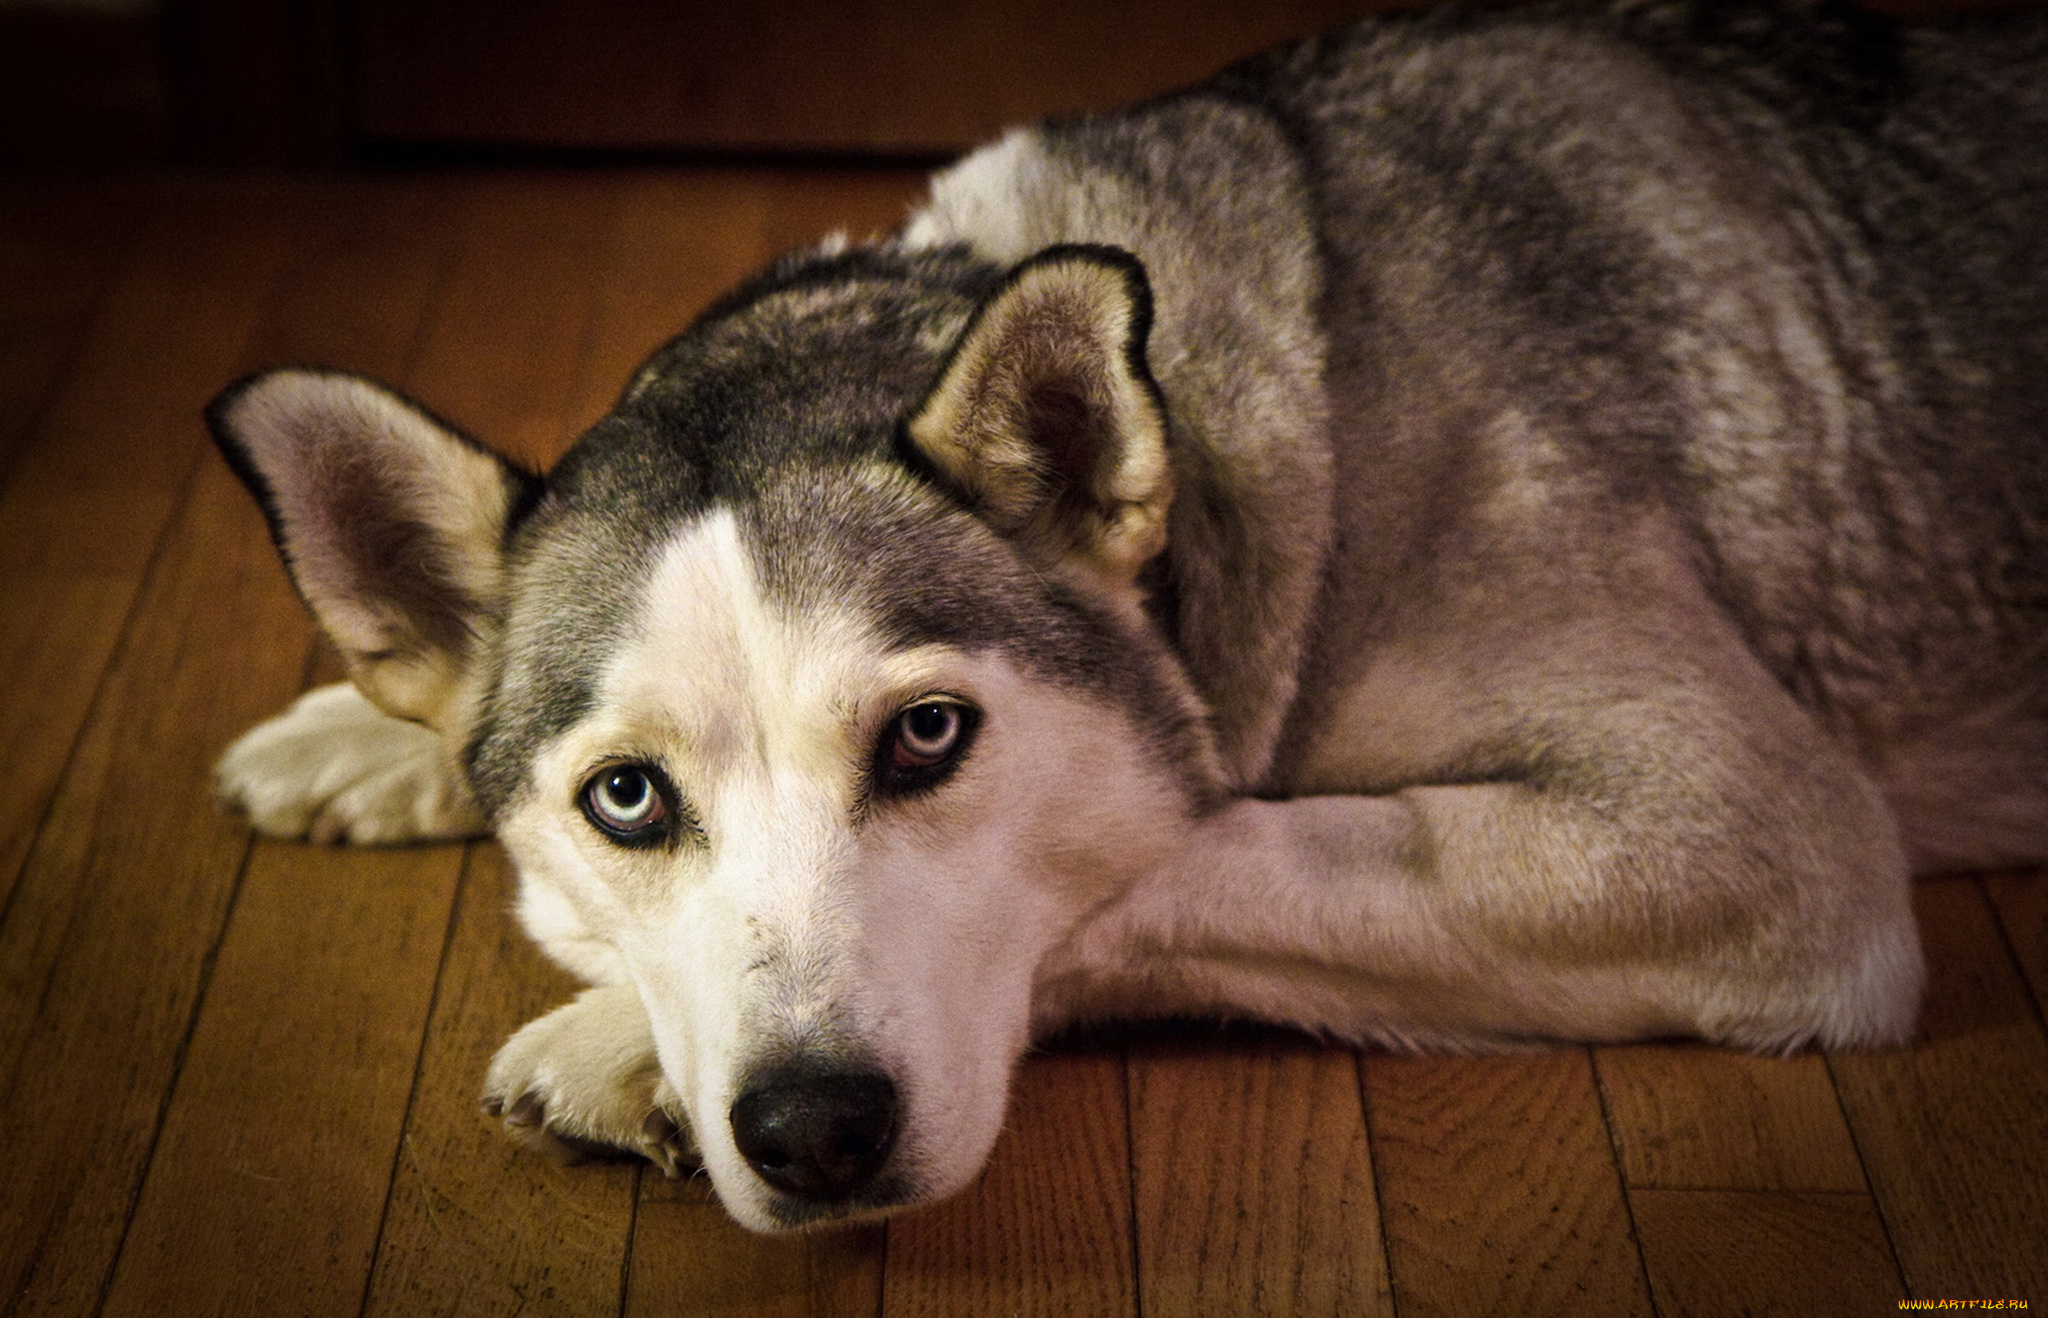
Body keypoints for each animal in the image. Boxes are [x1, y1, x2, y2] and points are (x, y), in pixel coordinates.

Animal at [211, 2, 2048, 1236]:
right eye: (626, 797)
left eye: (928, 734)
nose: (812, 1130)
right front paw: (360, 736)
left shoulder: (1748, 836)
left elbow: (1195, 851)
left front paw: (617, 1046)